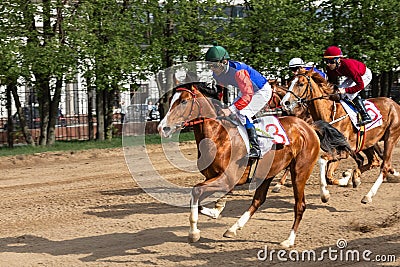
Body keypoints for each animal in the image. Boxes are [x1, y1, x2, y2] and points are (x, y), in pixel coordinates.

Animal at [157, 82, 350, 248]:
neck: (219, 137)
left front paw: (194, 232)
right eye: (171, 101)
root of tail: (309, 127)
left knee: (300, 205)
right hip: (267, 172)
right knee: (258, 200)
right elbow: (198, 199)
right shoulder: (213, 177)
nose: (162, 128)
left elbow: (196, 191)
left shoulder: (227, 179)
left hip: (300, 171)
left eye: (183, 101)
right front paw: (215, 211)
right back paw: (233, 228)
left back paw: (288, 240)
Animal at [282, 70, 400, 204]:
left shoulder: (344, 151)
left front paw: (326, 193)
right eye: (290, 83)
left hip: (391, 136)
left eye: (301, 84)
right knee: (373, 161)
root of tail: (395, 104)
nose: (284, 103)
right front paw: (346, 178)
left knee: (384, 165)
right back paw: (356, 177)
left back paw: (368, 195)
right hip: (367, 142)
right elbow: (328, 175)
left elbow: (323, 161)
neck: (330, 114)